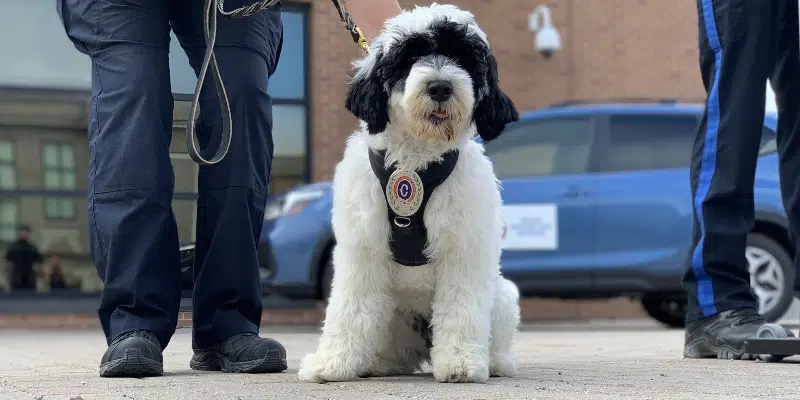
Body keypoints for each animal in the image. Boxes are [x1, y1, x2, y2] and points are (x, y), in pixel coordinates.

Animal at [296, 3, 520, 384]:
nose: (441, 87)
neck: (416, 160)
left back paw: (495, 362)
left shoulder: (464, 248)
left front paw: (460, 362)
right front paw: (333, 362)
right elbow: (348, 308)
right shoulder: (362, 248)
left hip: (502, 295)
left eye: (463, 57)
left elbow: (461, 307)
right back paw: (377, 362)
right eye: (411, 55)